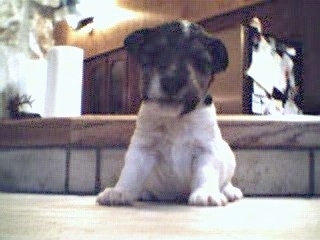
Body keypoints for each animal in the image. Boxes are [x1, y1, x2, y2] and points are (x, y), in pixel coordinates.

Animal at [97, 20, 242, 206]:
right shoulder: (142, 149)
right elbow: (131, 172)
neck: (175, 119)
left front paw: (206, 193)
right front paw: (120, 191)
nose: (172, 81)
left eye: (201, 61)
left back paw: (229, 191)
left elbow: (206, 172)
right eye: (153, 54)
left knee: (225, 181)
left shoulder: (206, 150)